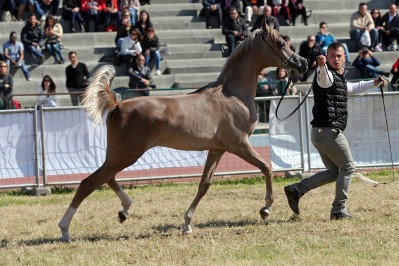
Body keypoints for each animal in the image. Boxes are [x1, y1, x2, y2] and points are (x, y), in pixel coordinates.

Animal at [58, 19, 310, 242]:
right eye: (281, 43)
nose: (303, 63)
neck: (232, 96)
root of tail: (117, 105)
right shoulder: (239, 145)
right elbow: (267, 167)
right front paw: (265, 209)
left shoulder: (217, 150)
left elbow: (204, 185)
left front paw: (187, 224)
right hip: (126, 154)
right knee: (89, 182)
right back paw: (65, 230)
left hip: (120, 155)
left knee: (107, 179)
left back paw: (124, 211)